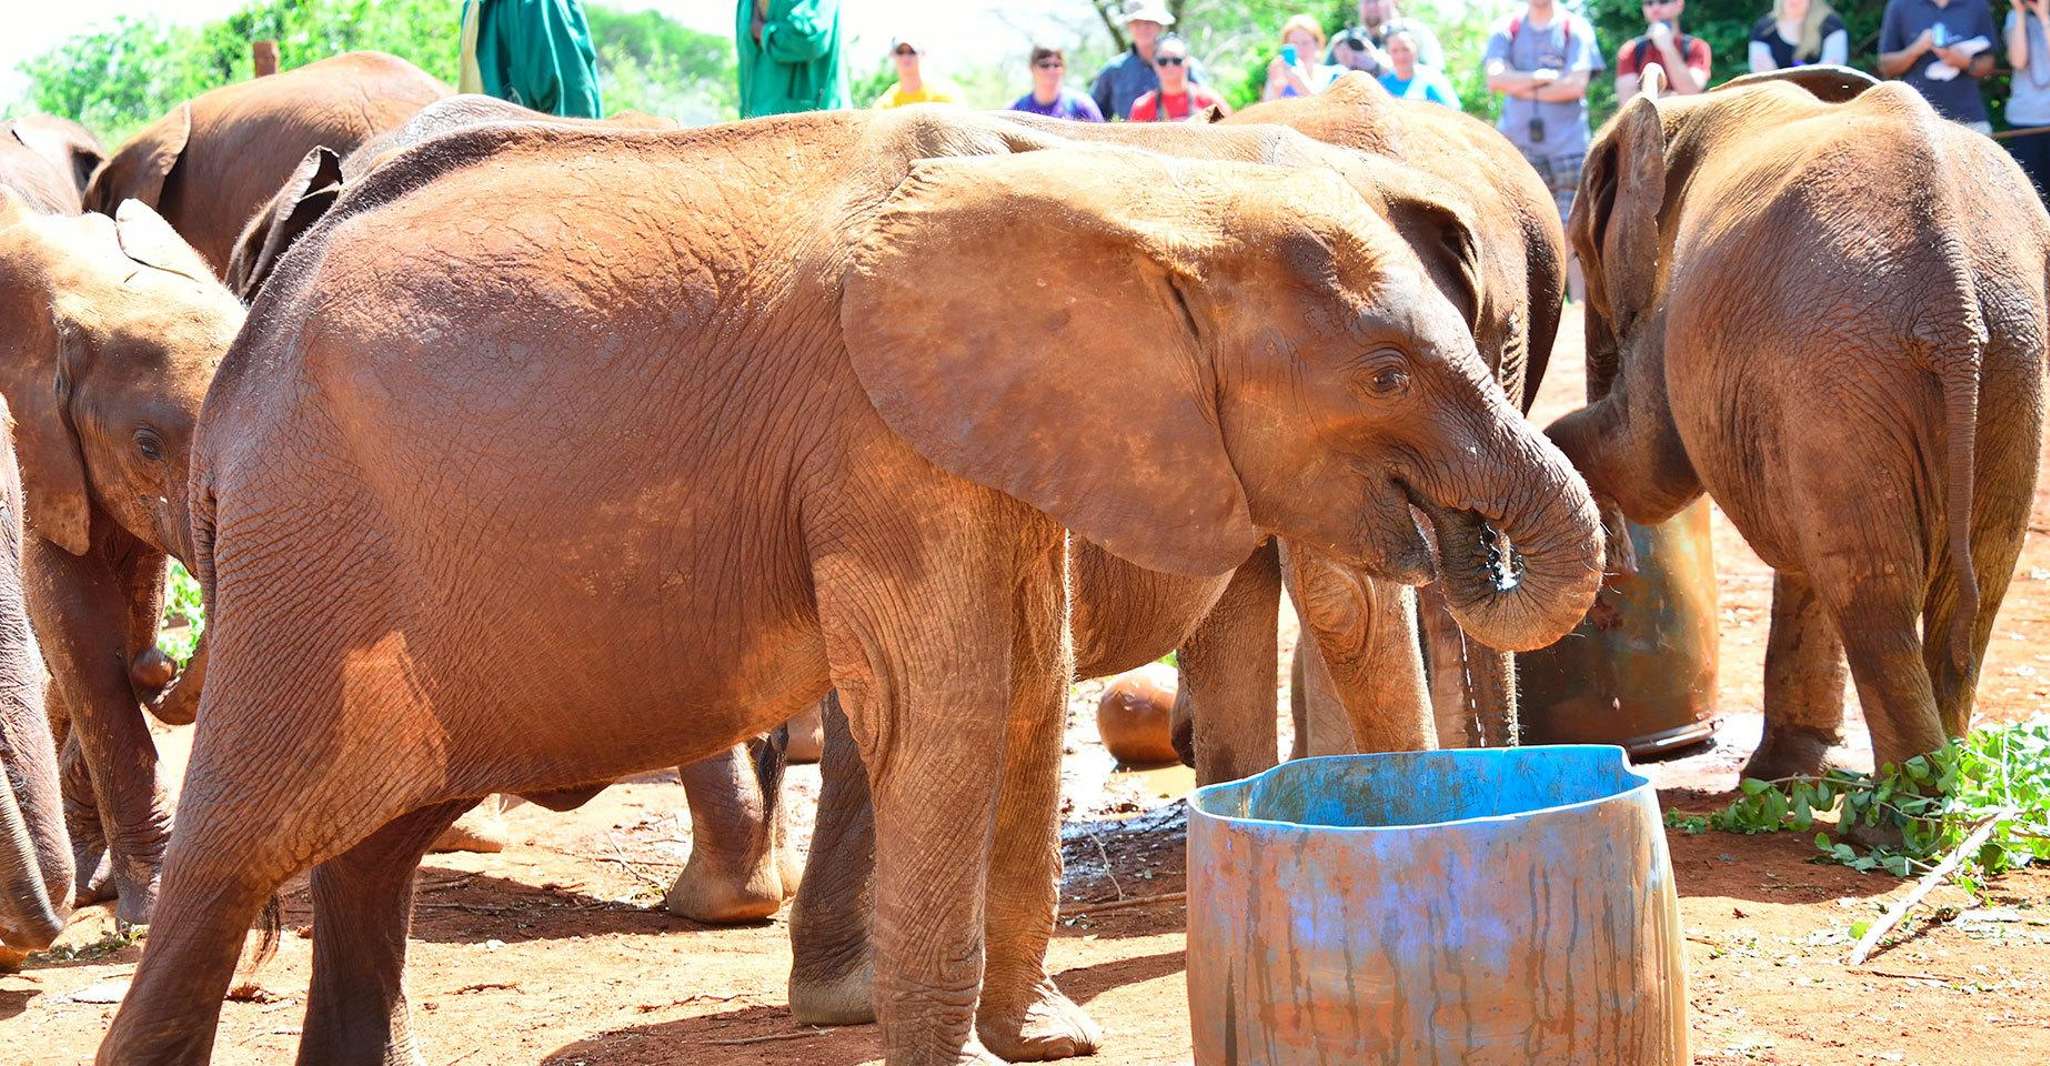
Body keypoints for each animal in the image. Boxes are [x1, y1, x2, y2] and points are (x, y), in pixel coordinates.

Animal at [0, 188, 246, 926]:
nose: (158, 666)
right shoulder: (41, 450)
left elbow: (133, 599)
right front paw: (151, 902)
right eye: (147, 446)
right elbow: (78, 623)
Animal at [96, 108, 1600, 1066]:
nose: (1474, 540)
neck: (1144, 189)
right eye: (1385, 375)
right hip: (311, 551)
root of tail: (246, 343)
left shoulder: (994, 426)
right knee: (239, 847)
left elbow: (1021, 690)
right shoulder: (878, 431)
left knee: (374, 848)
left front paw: (1044, 1040)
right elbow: (953, 703)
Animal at [1546, 67, 2050, 783]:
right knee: (1974, 576)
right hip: (2006, 356)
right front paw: (1783, 774)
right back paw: (1932, 786)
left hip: (1846, 357)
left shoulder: (1676, 304)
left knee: (1871, 585)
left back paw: (1899, 808)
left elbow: (1651, 467)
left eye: (1583, 251)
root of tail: (1952, 297)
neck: (1686, 105)